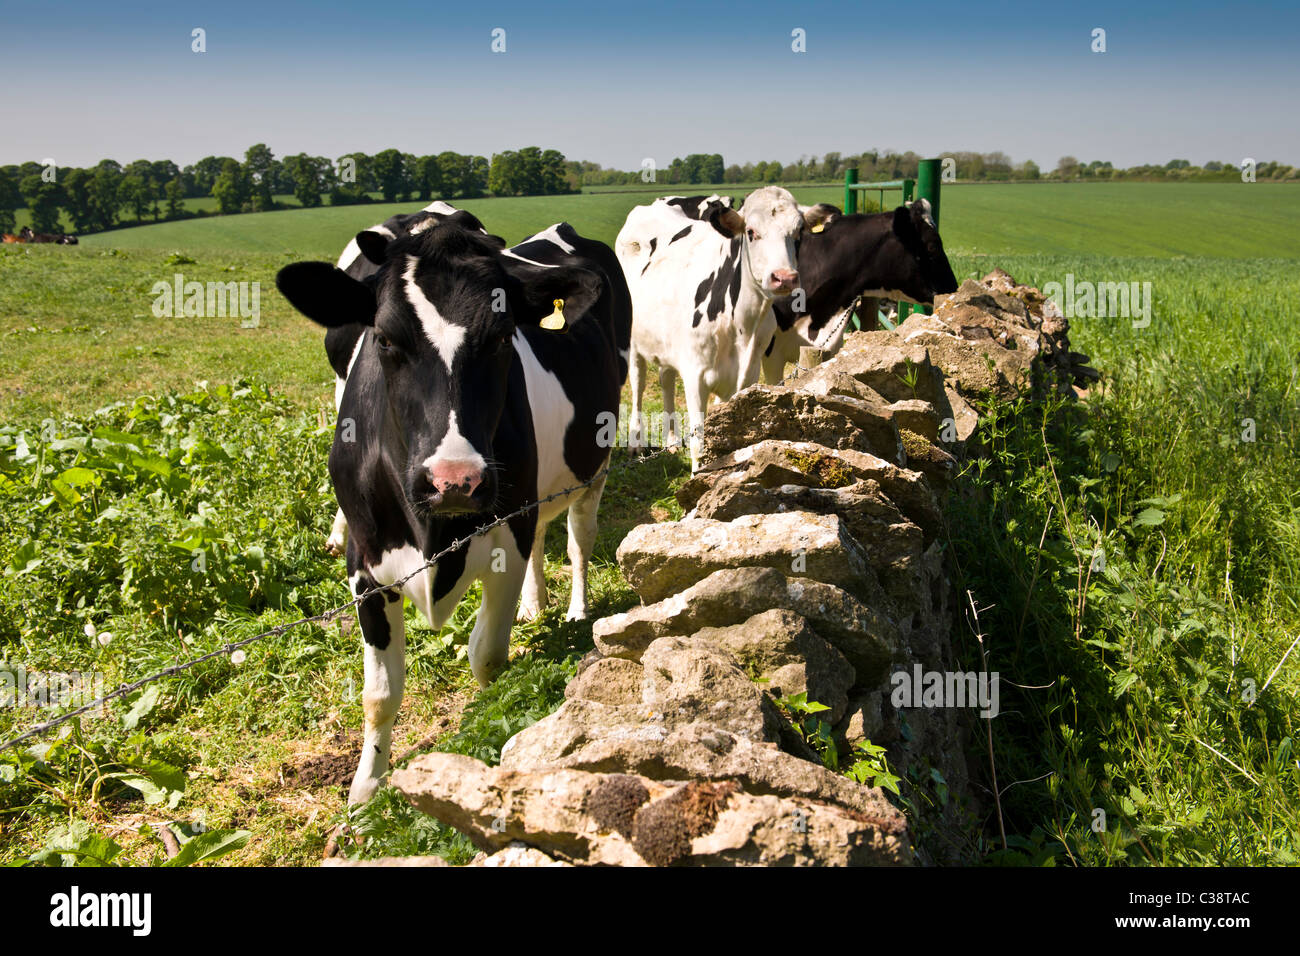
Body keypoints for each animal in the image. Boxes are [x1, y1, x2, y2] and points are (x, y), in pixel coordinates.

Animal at [276, 217, 631, 806]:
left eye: (503, 337)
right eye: (385, 338)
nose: (454, 482)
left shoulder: (507, 533)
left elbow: (486, 654)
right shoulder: (363, 564)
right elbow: (380, 693)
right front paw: (365, 789)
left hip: (593, 466)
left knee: (579, 537)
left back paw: (577, 608)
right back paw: (536, 604)